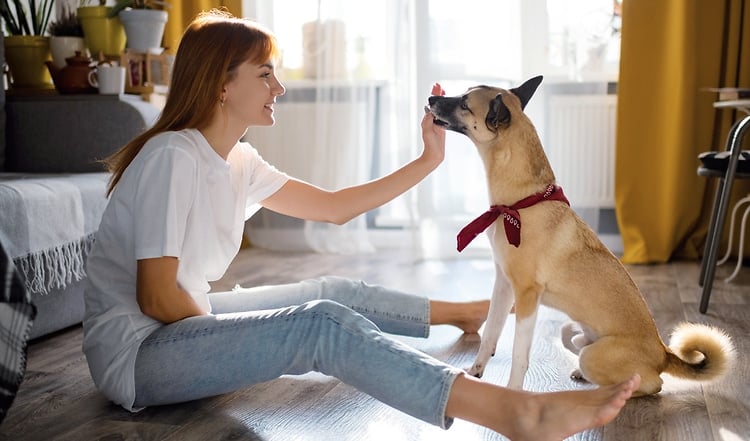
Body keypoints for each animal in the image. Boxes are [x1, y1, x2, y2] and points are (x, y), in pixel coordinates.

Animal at [426, 75, 736, 396]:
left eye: (464, 103)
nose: (430, 99)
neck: (520, 203)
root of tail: (664, 353)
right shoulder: (503, 285)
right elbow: (489, 333)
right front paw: (476, 372)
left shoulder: (526, 296)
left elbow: (519, 354)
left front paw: (512, 393)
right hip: (574, 331)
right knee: (573, 341)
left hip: (599, 356)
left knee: (652, 384)